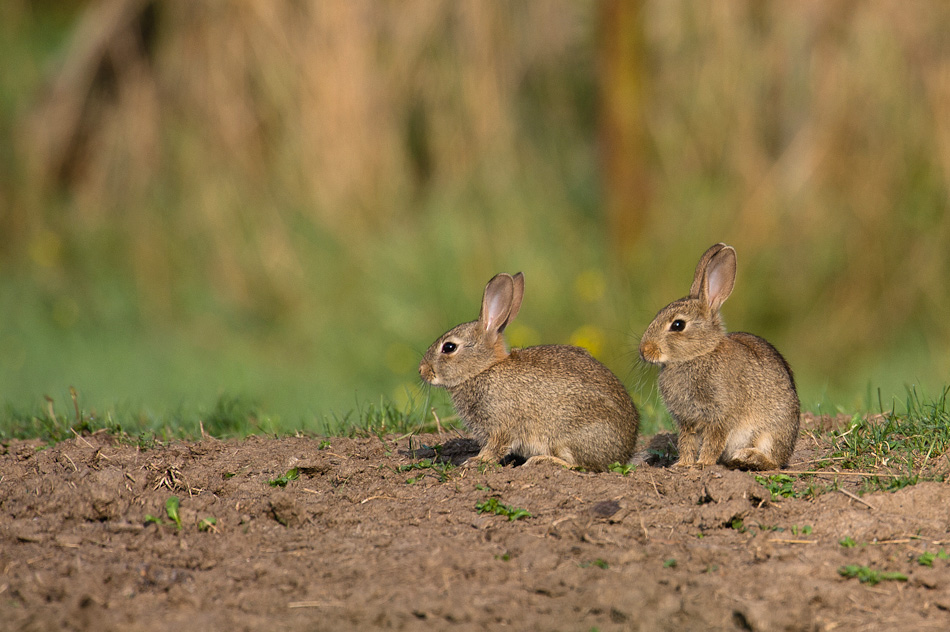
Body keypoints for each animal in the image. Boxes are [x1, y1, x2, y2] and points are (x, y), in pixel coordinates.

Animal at [422, 272, 640, 470]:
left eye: (449, 347)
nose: (422, 371)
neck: (483, 370)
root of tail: (624, 453)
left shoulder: (501, 424)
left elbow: (494, 448)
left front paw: (475, 461)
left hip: (571, 437)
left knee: (580, 465)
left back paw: (541, 460)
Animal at [640, 244, 804, 472]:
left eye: (678, 325)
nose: (644, 350)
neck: (699, 355)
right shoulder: (687, 420)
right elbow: (687, 442)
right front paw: (683, 464)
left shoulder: (720, 414)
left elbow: (713, 440)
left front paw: (703, 463)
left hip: (771, 431)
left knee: (773, 461)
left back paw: (747, 458)